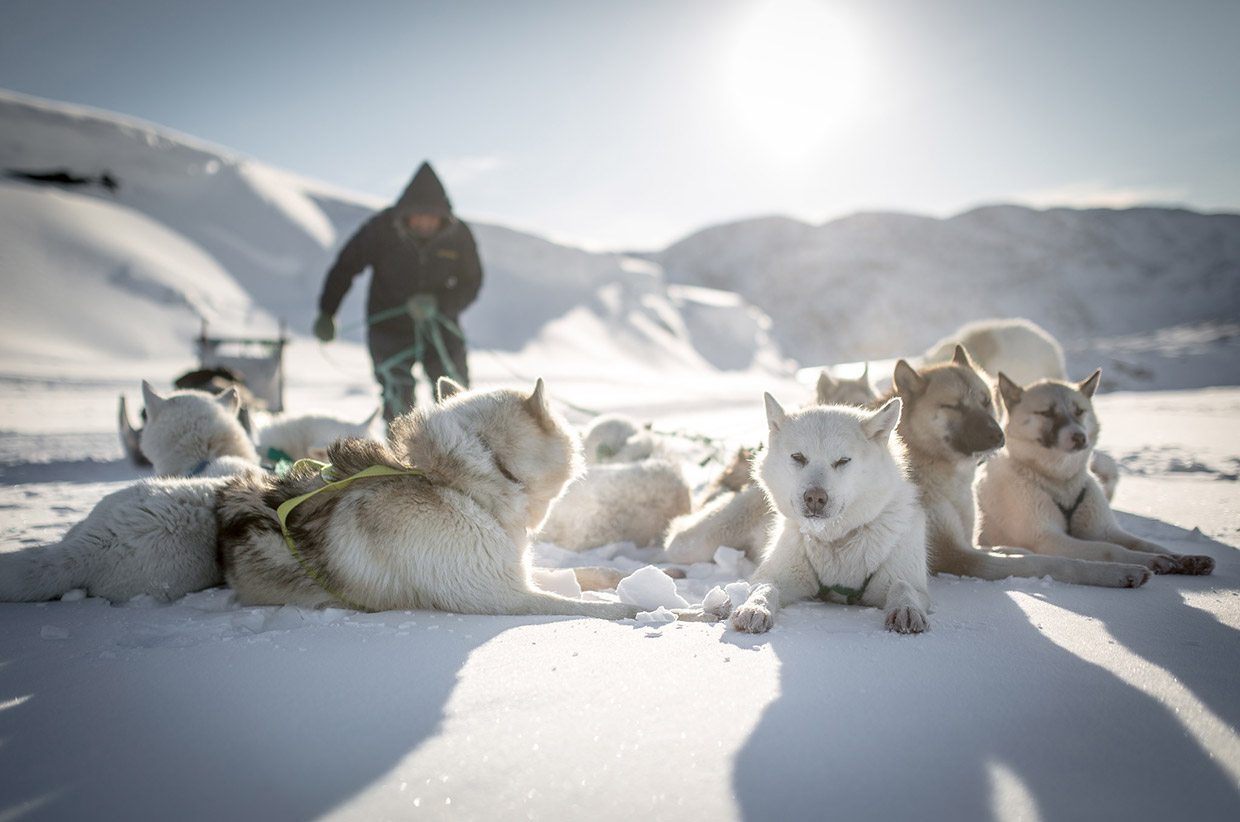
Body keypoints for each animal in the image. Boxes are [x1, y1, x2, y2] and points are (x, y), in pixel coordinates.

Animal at [714, 396, 927, 632]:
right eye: (798, 457)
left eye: (843, 461)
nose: (815, 497)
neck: (834, 540)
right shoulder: (775, 573)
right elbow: (765, 587)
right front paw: (755, 607)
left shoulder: (905, 577)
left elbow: (903, 586)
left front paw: (906, 609)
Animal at [972, 369, 1215, 575]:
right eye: (1047, 413)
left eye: (1079, 411)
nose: (1079, 436)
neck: (1060, 481)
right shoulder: (1048, 539)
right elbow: (1108, 549)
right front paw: (1150, 560)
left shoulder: (1105, 530)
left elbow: (1145, 543)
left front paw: (1186, 558)